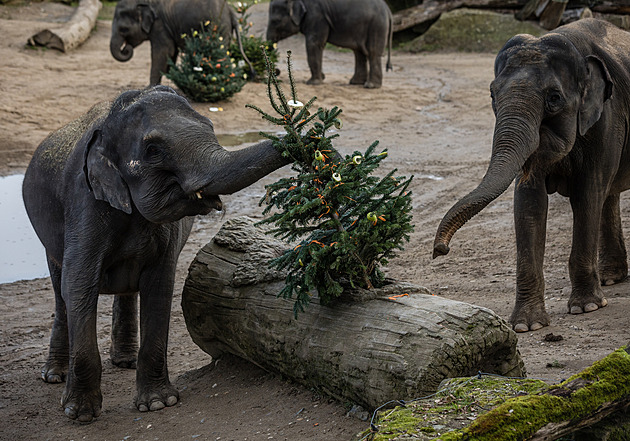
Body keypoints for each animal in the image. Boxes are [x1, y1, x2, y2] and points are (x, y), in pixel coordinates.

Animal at [21, 85, 288, 420]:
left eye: (211, 128)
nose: (309, 132)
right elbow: (79, 284)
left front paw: (158, 403)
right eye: (153, 151)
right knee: (60, 290)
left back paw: (125, 361)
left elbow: (159, 287)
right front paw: (80, 414)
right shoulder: (83, 200)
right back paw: (54, 375)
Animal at [110, 0, 251, 85]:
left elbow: (163, 51)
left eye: (123, 29)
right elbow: (171, 52)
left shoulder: (159, 24)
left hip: (219, 27)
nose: (126, 48)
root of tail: (230, 10)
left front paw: (149, 89)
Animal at [266, 0, 396, 88]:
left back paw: (370, 86)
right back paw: (355, 83)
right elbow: (319, 46)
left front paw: (313, 83)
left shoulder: (317, 16)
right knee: (359, 52)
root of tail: (388, 10)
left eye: (275, 21)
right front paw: (322, 77)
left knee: (372, 52)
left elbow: (313, 43)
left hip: (376, 26)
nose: (277, 71)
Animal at [434, 18, 630, 332]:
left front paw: (586, 307)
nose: (440, 250)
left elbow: (587, 196)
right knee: (608, 195)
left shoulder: (606, 119)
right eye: (492, 94)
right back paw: (611, 278)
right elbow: (528, 203)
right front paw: (527, 325)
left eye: (554, 97)